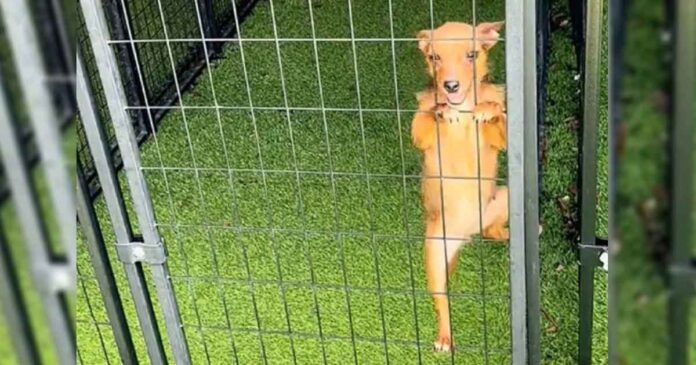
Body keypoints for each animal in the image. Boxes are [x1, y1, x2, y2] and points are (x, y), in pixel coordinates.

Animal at [410, 21, 508, 352]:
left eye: (471, 54)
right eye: (434, 58)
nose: (450, 86)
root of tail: (466, 235)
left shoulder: (500, 141)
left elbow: (499, 117)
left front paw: (488, 109)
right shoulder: (420, 136)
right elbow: (427, 115)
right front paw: (443, 110)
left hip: (505, 198)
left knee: (492, 232)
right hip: (435, 258)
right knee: (442, 303)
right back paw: (444, 337)